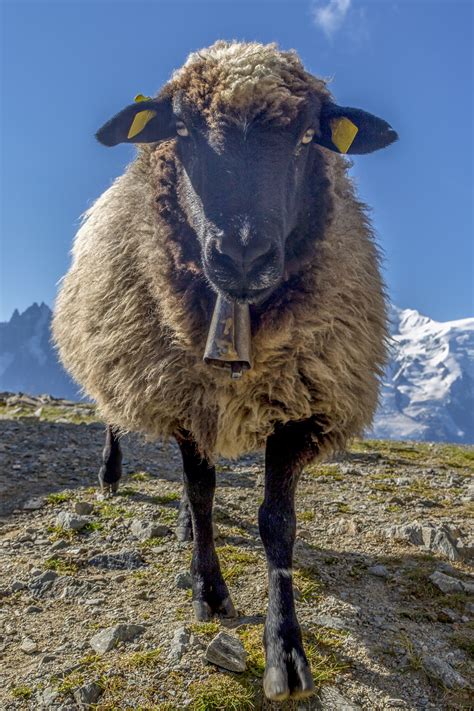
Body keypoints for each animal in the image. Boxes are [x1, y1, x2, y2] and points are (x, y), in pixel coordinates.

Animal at [51, 41, 396, 704]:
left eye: (308, 136)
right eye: (182, 129)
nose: (242, 254)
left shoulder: (302, 403)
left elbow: (277, 524)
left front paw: (285, 652)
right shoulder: (183, 395)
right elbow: (203, 490)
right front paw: (208, 592)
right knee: (116, 419)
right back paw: (112, 476)